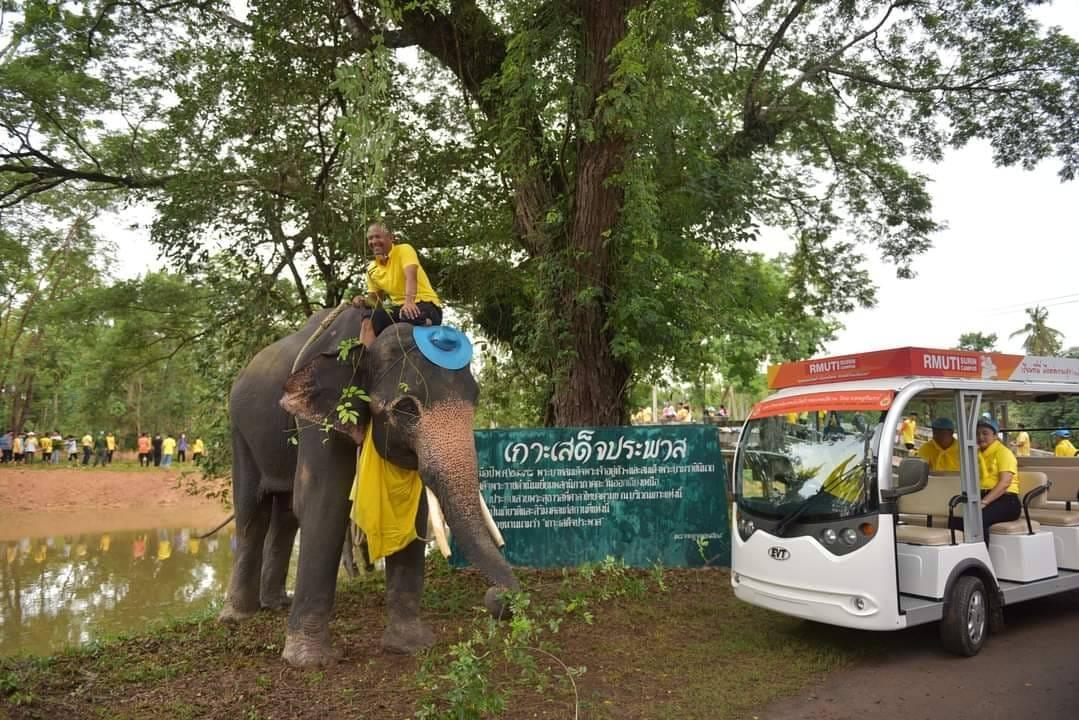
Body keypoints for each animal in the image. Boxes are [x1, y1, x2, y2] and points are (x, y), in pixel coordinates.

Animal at [220, 302, 517, 669]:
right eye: (406, 407)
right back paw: (237, 616)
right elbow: (324, 501)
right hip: (240, 431)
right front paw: (309, 661)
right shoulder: (319, 417)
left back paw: (276, 603)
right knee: (252, 511)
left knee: (285, 513)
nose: (497, 599)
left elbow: (414, 511)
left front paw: (410, 645)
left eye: (476, 400)